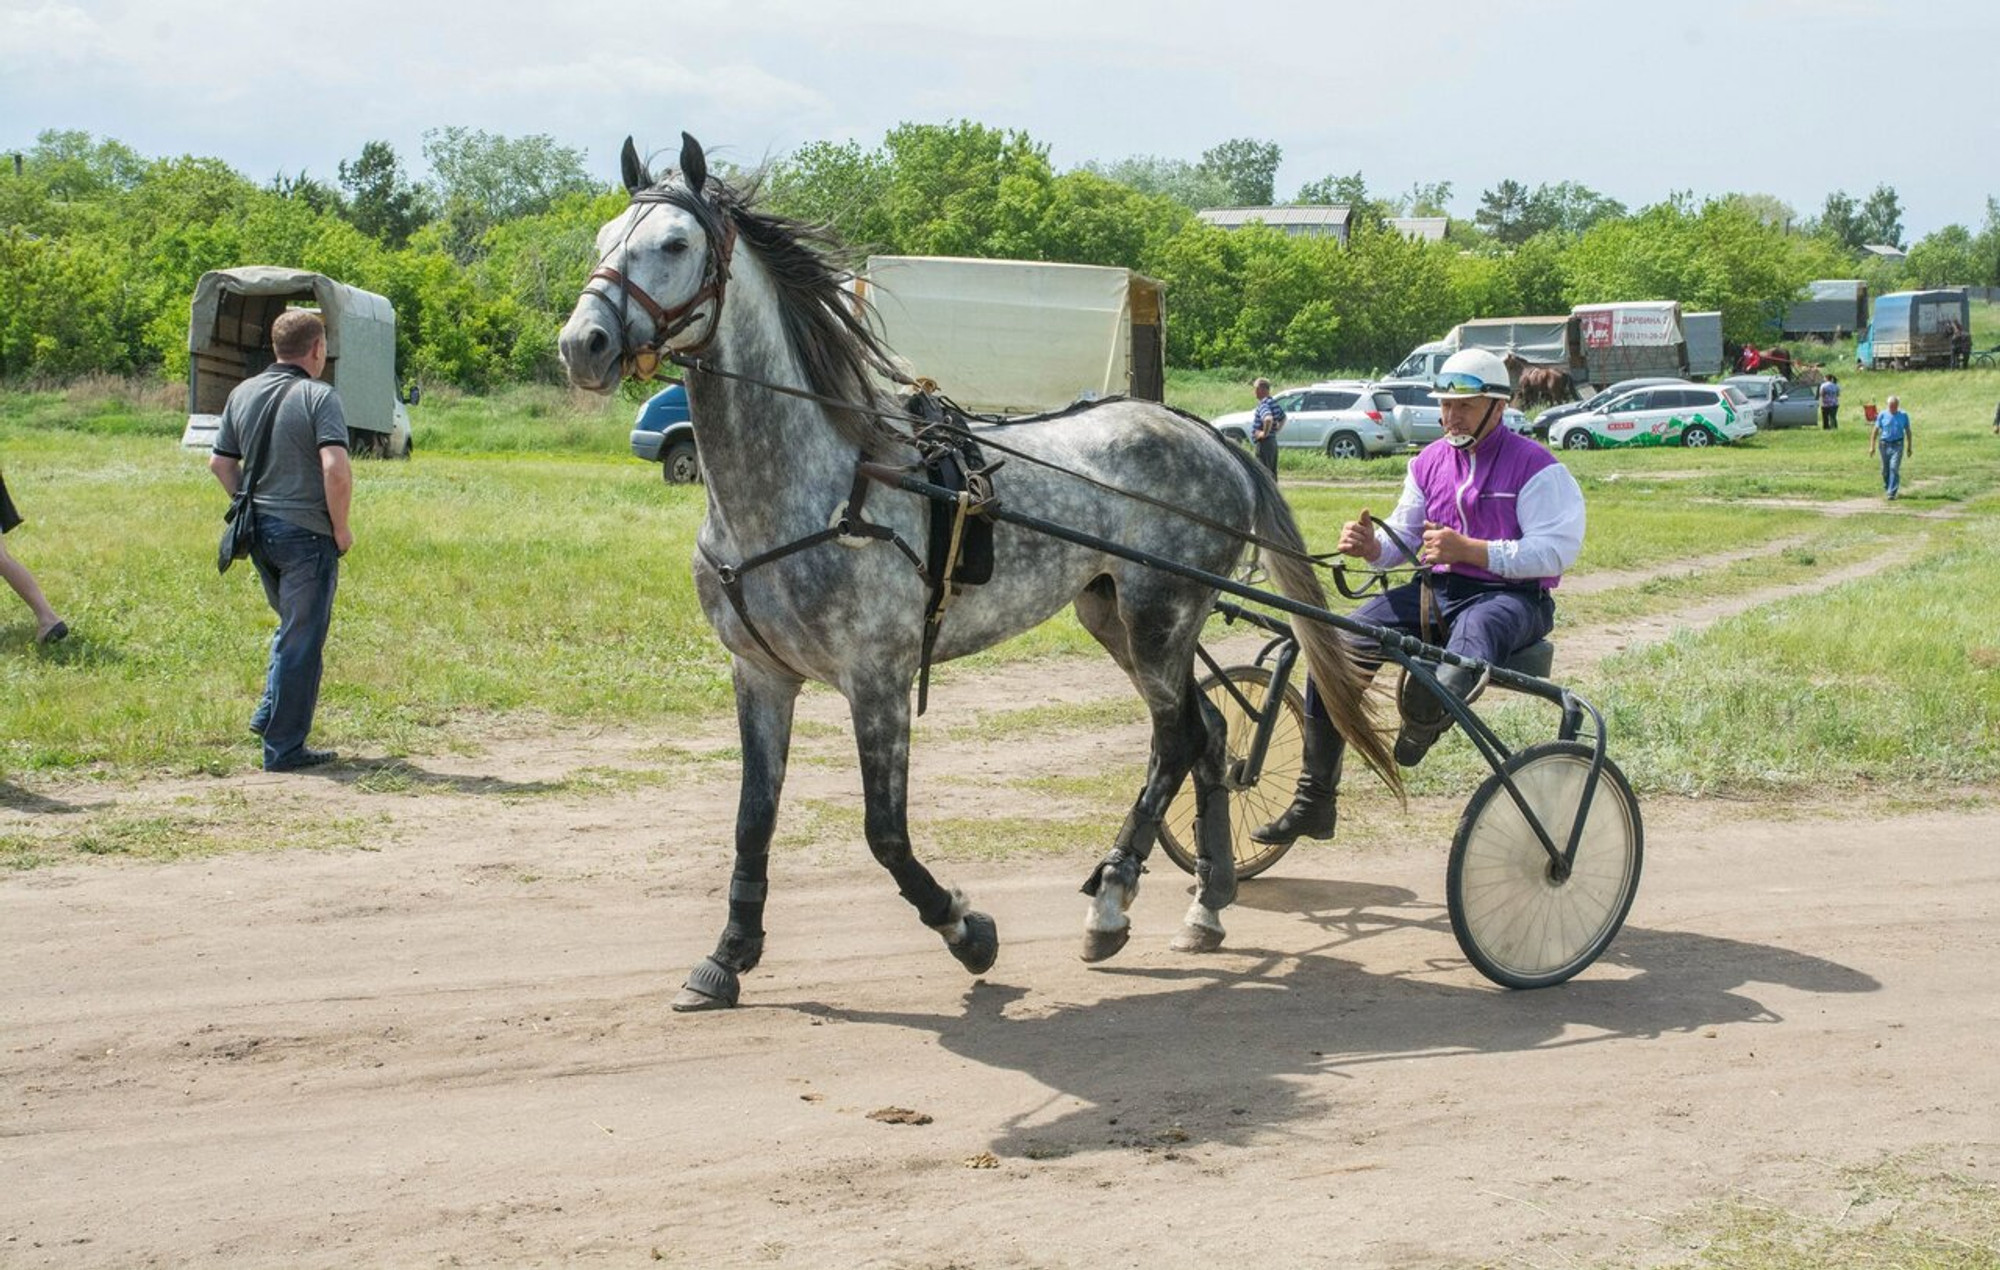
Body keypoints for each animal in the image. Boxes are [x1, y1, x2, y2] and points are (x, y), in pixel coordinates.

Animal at [556, 137, 1384, 1012]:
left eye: (675, 244)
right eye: (602, 239)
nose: (584, 344)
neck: (813, 485)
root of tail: (1210, 436)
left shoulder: (878, 678)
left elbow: (885, 833)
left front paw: (965, 929)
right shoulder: (759, 673)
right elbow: (754, 820)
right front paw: (729, 954)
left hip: (1161, 614)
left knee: (1178, 739)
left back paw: (1113, 899)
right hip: (1116, 615)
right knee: (1211, 735)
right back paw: (1208, 903)